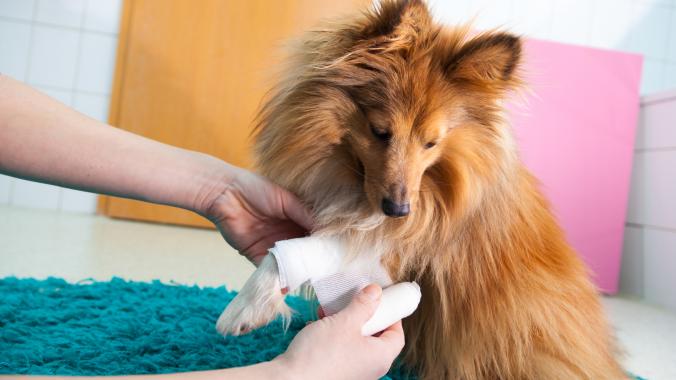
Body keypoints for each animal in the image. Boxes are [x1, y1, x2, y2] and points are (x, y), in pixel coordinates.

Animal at [217, 1, 624, 378]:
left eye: (432, 143)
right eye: (380, 131)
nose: (398, 210)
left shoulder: (396, 244)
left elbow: (292, 253)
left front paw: (244, 307)